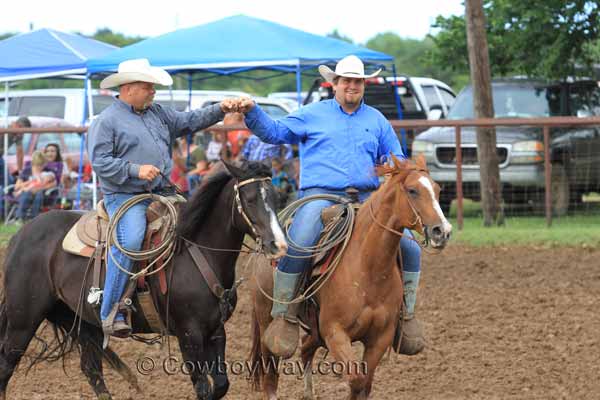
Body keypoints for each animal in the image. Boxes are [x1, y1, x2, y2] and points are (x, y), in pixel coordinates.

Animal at [0, 160, 288, 400]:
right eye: (249, 199)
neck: (195, 251)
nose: (278, 244)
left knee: (92, 370)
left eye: (276, 198)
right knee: (6, 364)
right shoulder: (189, 335)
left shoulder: (216, 331)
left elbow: (220, 385)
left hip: (82, 321)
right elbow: (203, 388)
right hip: (23, 320)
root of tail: (20, 236)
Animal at [247, 155, 450, 400]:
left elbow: (365, 384)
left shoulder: (379, 338)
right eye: (412, 190)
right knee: (270, 370)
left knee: (305, 348)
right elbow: (356, 379)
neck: (368, 269)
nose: (443, 231)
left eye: (437, 190)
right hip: (264, 317)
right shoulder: (336, 333)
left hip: (314, 328)